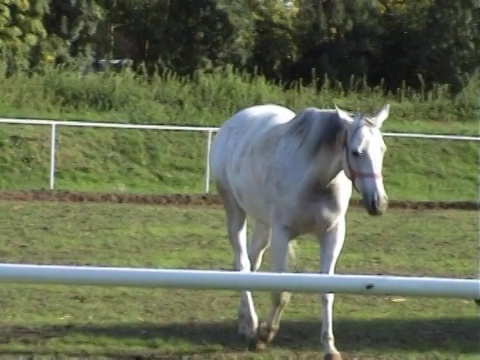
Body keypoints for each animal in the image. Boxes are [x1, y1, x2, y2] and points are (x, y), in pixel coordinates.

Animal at [210, 102, 390, 358]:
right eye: (356, 152)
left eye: (382, 150)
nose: (378, 203)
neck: (316, 181)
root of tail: (234, 122)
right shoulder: (282, 233)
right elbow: (280, 292)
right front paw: (265, 334)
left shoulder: (333, 233)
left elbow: (326, 293)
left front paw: (330, 347)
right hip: (235, 212)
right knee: (242, 264)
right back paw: (252, 326)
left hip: (263, 225)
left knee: (252, 263)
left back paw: (244, 324)